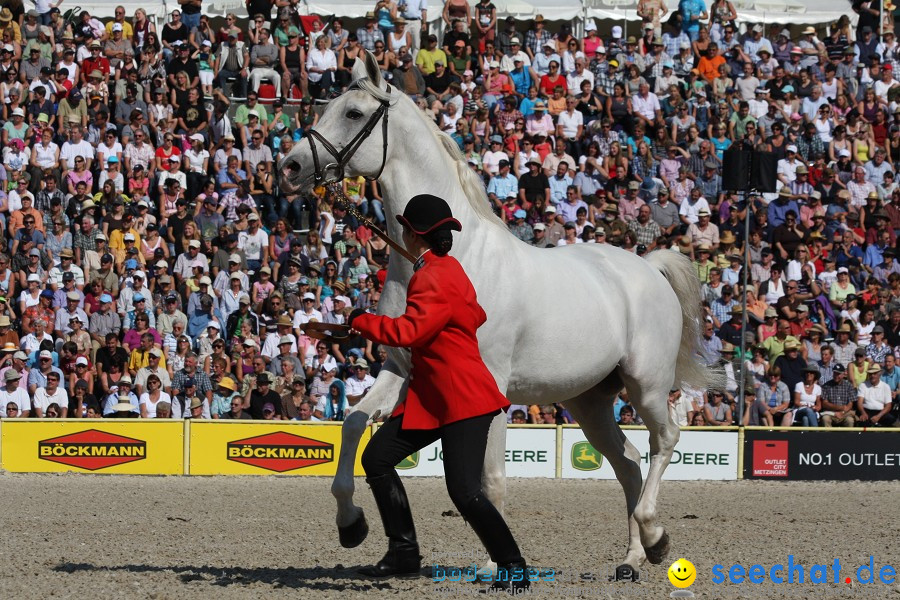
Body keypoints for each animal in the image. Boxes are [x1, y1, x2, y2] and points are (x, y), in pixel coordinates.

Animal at [282, 54, 716, 580]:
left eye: (353, 112)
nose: (290, 166)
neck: (449, 256)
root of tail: (649, 266)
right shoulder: (401, 370)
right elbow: (351, 423)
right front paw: (351, 523)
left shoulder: (490, 389)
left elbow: (488, 478)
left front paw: (495, 565)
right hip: (590, 402)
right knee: (628, 462)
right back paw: (632, 558)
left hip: (646, 385)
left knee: (664, 440)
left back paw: (654, 535)